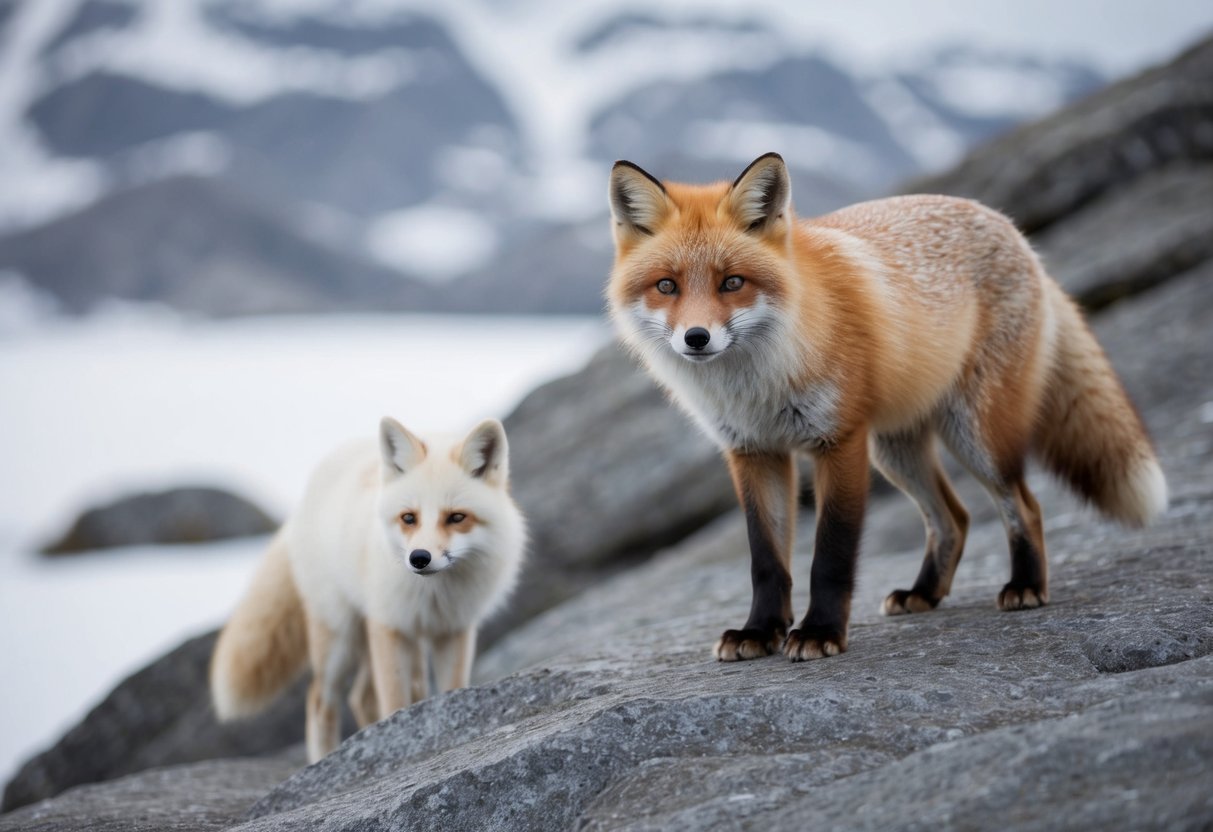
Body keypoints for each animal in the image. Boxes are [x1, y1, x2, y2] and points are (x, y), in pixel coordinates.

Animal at [210, 417, 525, 762]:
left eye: (456, 517)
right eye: (409, 518)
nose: (419, 558)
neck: (434, 597)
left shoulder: (453, 631)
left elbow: (450, 691)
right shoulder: (389, 627)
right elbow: (395, 704)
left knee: (362, 698)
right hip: (340, 639)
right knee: (320, 701)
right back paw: (322, 760)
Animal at [607, 152, 1167, 663]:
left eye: (732, 283)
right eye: (666, 286)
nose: (696, 338)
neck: (759, 385)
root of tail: (1011, 227)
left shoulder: (839, 440)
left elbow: (831, 554)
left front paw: (819, 633)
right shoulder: (753, 452)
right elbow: (766, 560)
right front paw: (760, 631)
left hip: (975, 435)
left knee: (1023, 506)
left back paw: (1025, 586)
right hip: (896, 451)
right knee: (954, 517)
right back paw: (924, 593)